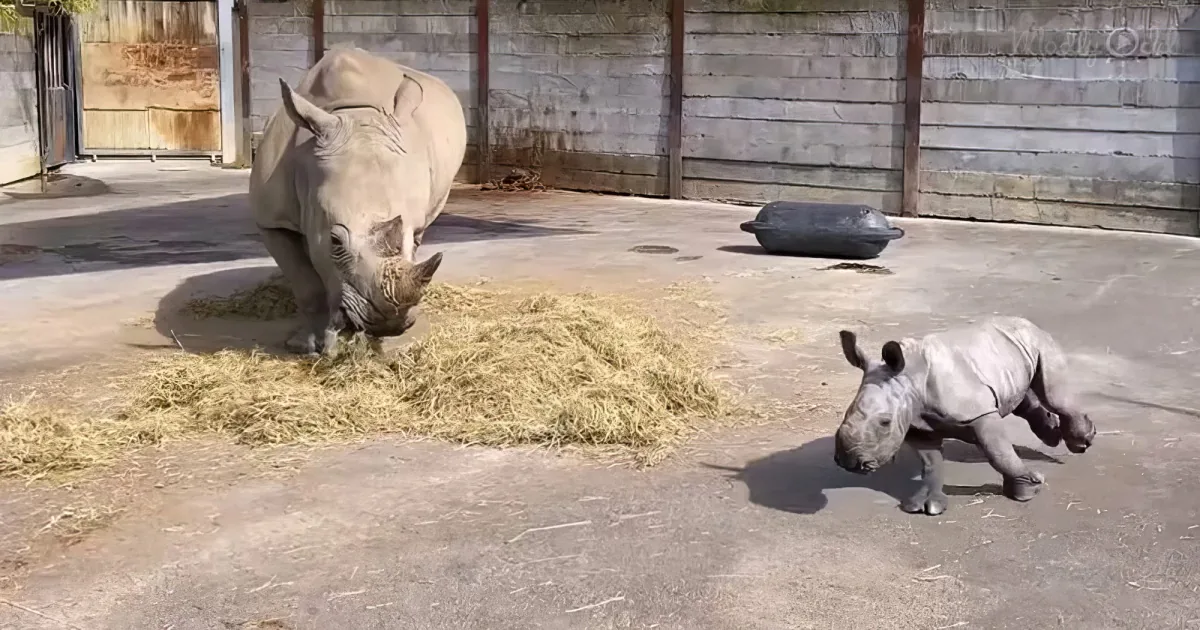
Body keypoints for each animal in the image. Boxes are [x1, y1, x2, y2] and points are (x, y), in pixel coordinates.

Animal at [249, 47, 467, 355]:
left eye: (407, 235)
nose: (388, 324)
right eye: (334, 241)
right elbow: (307, 286)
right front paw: (308, 346)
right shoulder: (271, 219)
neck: (353, 114)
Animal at [833, 316, 1097, 516]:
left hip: (1041, 343)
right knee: (1020, 398)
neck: (910, 380)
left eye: (884, 422)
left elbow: (999, 453)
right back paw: (1053, 436)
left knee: (1054, 396)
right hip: (1008, 353)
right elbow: (931, 463)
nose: (848, 462)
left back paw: (1082, 443)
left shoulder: (979, 414)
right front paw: (924, 506)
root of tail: (1027, 322)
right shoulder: (917, 424)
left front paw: (1027, 492)